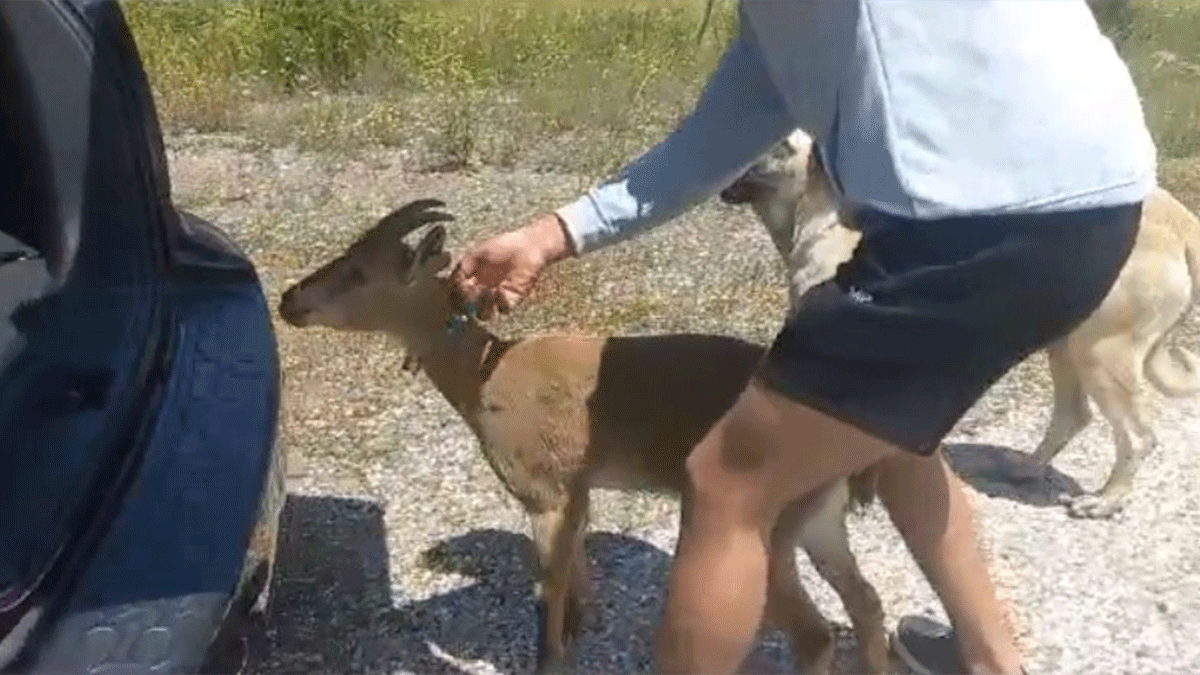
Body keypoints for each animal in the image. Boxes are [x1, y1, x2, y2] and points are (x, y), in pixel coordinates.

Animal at [720, 131, 1200, 521]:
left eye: (779, 144)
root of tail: (1182, 224)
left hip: (1100, 353)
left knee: (1136, 436)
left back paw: (1105, 500)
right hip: (1067, 345)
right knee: (1072, 415)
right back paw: (1027, 469)